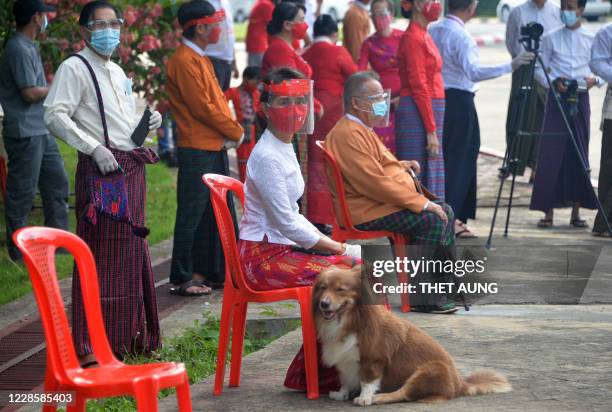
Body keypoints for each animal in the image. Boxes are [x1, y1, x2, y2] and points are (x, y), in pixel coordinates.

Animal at [314, 268, 510, 406]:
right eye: (323, 288)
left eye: (340, 289)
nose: (324, 304)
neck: (352, 319)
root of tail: (460, 384)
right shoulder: (345, 359)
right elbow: (346, 379)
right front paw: (342, 393)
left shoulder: (373, 358)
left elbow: (367, 381)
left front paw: (365, 398)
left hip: (431, 368)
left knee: (404, 394)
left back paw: (381, 397)